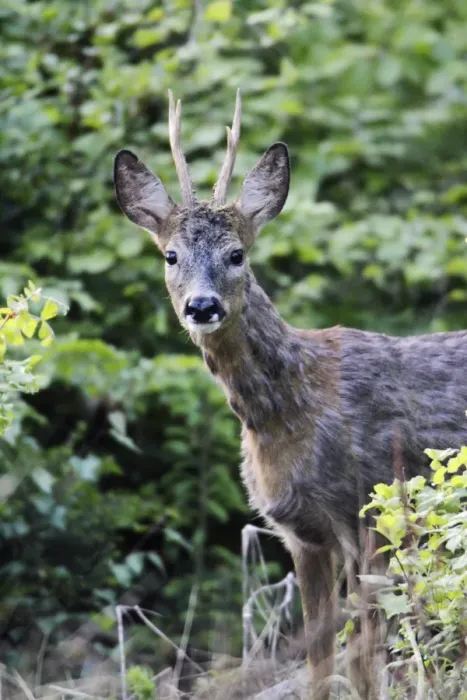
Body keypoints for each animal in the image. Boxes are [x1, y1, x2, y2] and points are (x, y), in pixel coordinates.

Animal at [114, 90, 467, 699]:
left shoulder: (372, 504)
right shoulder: (302, 534)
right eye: (170, 256)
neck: (289, 410)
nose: (202, 306)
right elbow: (321, 663)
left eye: (236, 254)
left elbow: (365, 659)